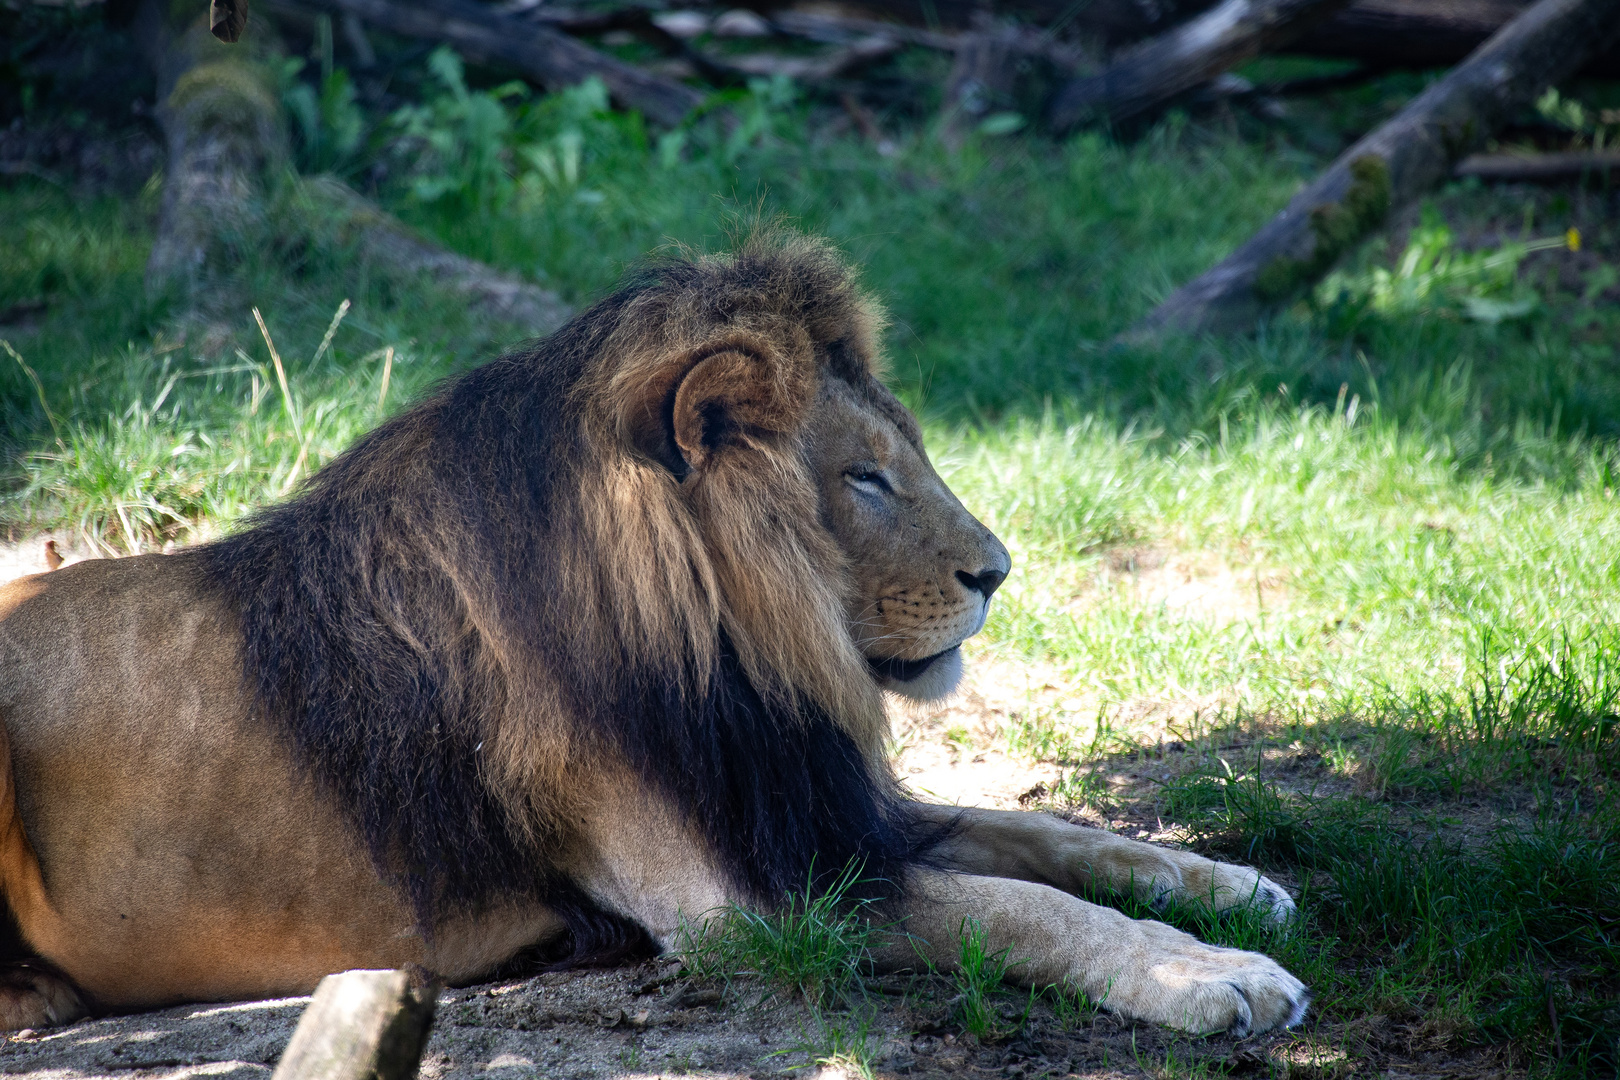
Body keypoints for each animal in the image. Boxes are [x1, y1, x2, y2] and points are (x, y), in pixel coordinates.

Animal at [0, 238, 1302, 1036]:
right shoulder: (744, 902)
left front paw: (1231, 885)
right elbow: (1022, 908)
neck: (741, 659)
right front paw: (1213, 976)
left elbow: (1050, 834)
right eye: (865, 478)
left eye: (904, 459)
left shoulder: (809, 805)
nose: (999, 571)